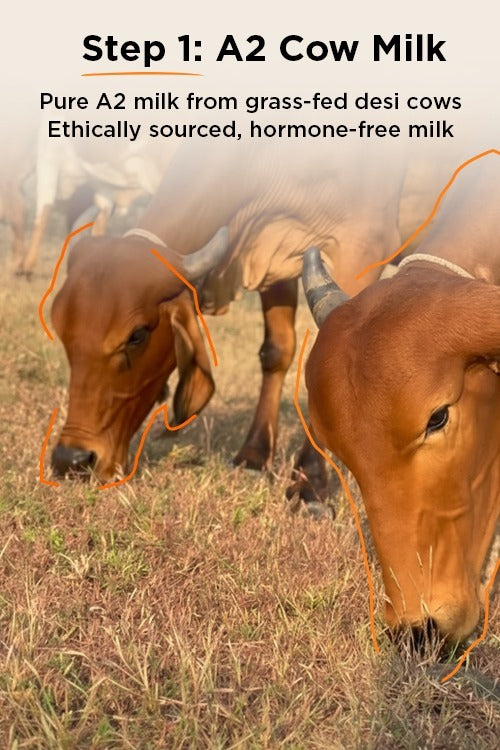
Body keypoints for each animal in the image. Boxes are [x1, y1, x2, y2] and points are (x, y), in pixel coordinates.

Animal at [50, 141, 405, 484]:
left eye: (136, 336)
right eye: (61, 329)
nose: (71, 460)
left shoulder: (361, 249)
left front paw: (310, 482)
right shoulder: (275, 256)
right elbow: (276, 352)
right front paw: (253, 457)